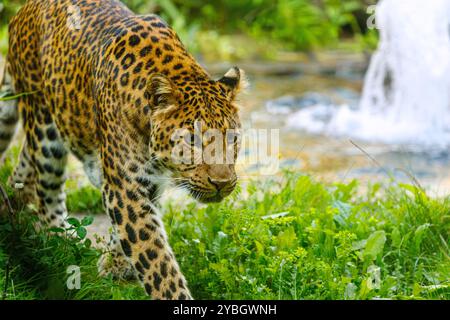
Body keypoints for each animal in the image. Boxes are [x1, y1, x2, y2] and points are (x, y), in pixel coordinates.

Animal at [0, 0, 246, 300]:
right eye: (192, 140)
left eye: (233, 138)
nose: (222, 183)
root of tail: (24, 10)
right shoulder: (125, 185)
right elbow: (156, 260)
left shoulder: (149, 182)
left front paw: (116, 262)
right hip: (43, 125)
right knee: (47, 187)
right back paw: (60, 238)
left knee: (24, 169)